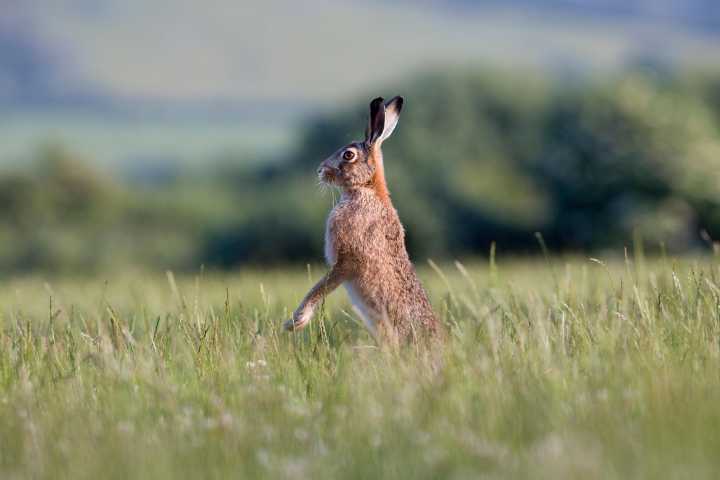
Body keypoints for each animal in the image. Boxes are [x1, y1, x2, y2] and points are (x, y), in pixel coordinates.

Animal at [284, 96, 441, 343]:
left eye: (348, 155)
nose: (320, 170)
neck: (366, 187)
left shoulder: (347, 259)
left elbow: (321, 286)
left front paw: (296, 322)